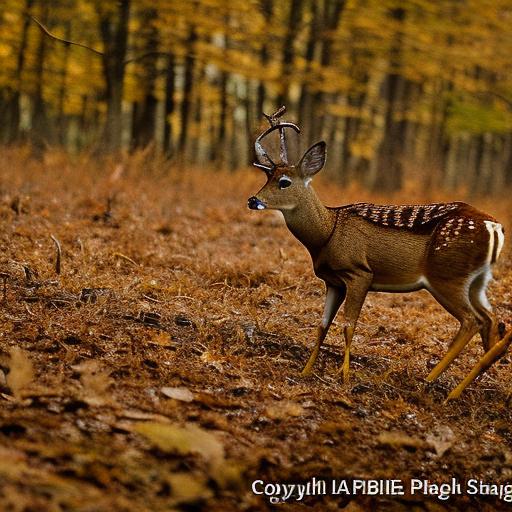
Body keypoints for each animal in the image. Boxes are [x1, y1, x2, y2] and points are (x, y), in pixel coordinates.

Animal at [247, 106, 508, 398]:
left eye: (284, 182)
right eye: (266, 177)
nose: (253, 200)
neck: (328, 231)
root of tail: (494, 226)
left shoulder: (359, 272)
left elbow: (349, 326)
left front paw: (344, 376)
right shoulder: (333, 281)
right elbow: (322, 325)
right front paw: (305, 371)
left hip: (446, 276)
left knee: (472, 321)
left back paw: (432, 382)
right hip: (476, 281)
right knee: (492, 320)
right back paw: (463, 386)